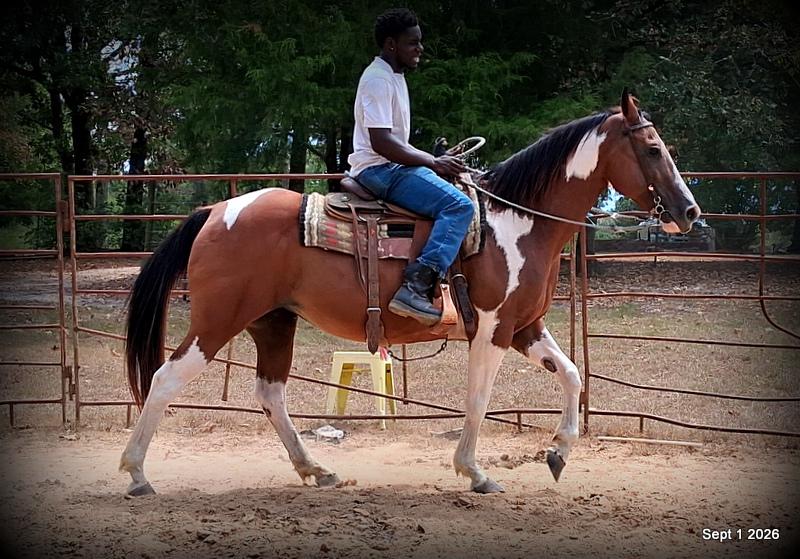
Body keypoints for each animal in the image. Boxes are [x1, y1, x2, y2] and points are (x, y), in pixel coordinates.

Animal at [120, 90, 700, 496]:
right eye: (653, 148)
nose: (689, 210)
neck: (517, 222)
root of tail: (215, 211)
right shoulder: (492, 330)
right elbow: (479, 398)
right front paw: (475, 472)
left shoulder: (525, 328)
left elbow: (573, 375)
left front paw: (557, 453)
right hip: (217, 320)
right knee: (166, 379)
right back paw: (137, 474)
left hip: (273, 321)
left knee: (269, 393)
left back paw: (316, 469)